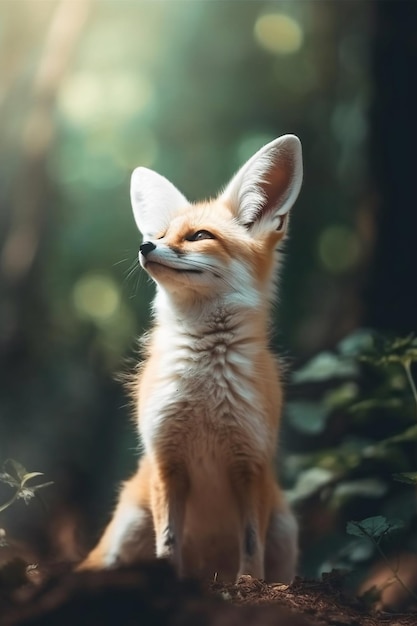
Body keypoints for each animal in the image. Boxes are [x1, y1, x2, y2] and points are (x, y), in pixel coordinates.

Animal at [80, 134, 302, 584]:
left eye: (199, 235)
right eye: (162, 234)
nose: (145, 245)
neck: (206, 391)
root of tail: (207, 568)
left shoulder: (250, 462)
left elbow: (250, 547)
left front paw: (247, 586)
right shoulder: (168, 460)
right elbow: (168, 543)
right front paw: (168, 581)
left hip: (286, 530)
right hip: (129, 524)